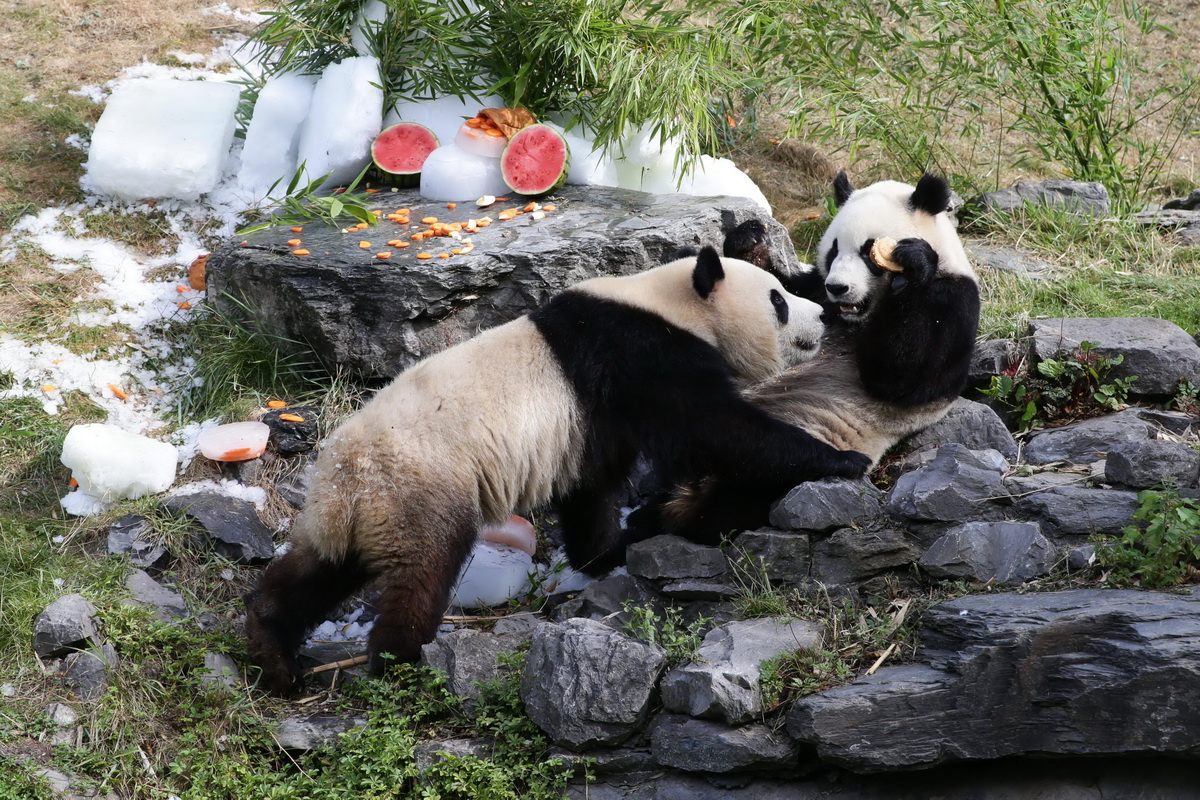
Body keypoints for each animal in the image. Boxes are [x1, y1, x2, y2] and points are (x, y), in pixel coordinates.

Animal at [243, 245, 868, 695]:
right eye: (778, 300)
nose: (822, 315)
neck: (671, 302)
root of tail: (344, 486)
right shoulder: (640, 353)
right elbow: (710, 428)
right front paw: (842, 459)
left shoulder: (594, 420)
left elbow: (592, 486)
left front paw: (609, 551)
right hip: (419, 489)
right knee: (421, 572)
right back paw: (401, 664)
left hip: (359, 515)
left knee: (318, 572)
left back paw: (274, 657)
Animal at [633, 171, 979, 542]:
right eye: (834, 249)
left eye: (868, 252)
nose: (838, 287)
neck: (860, 316)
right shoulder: (814, 290)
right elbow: (778, 291)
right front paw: (748, 238)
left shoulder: (955, 300)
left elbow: (906, 377)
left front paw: (913, 261)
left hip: (800, 445)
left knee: (745, 484)